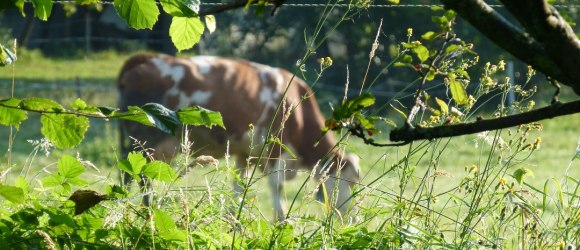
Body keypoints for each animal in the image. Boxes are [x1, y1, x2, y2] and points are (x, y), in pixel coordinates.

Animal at [116, 52, 358, 219]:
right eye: (351, 183)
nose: (352, 219)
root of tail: (145, 58)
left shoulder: (246, 155)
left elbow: (237, 191)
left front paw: (233, 223)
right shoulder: (275, 152)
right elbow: (278, 196)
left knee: (128, 175)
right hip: (150, 142)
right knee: (143, 180)